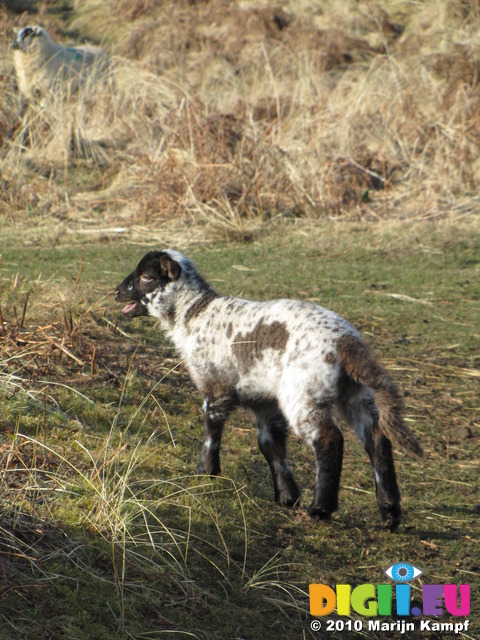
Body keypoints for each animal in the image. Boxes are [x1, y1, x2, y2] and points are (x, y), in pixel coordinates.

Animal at [114, 250, 422, 528]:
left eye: (147, 276)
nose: (116, 291)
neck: (192, 314)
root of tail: (346, 341)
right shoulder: (262, 399)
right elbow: (270, 444)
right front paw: (286, 496)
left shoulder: (216, 384)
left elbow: (212, 430)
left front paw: (205, 472)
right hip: (355, 394)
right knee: (377, 439)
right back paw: (389, 514)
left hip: (304, 392)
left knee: (330, 440)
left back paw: (321, 508)